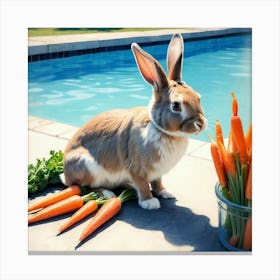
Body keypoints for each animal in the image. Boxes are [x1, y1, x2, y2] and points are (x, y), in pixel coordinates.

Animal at [64, 32, 208, 209]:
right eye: (176, 105)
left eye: (198, 97)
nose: (201, 124)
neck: (161, 130)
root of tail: (66, 174)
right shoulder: (137, 169)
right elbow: (143, 185)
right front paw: (150, 202)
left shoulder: (157, 173)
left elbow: (157, 183)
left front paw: (165, 193)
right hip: (87, 167)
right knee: (84, 187)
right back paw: (108, 194)